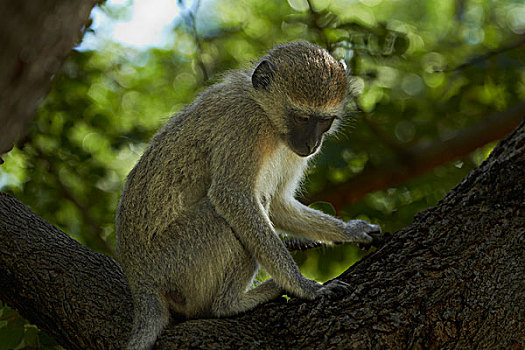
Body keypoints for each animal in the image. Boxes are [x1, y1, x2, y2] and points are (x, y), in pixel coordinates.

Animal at [116, 42, 378, 348]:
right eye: (302, 117)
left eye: (324, 121)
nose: (313, 144)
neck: (265, 112)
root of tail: (139, 280)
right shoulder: (245, 125)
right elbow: (232, 196)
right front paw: (305, 288)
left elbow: (277, 204)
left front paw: (352, 231)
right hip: (174, 261)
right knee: (221, 219)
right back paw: (231, 304)